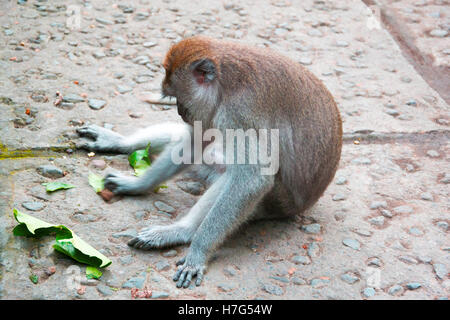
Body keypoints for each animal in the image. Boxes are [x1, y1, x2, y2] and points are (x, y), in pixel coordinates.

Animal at [77, 36, 342, 288]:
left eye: (178, 96)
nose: (180, 111)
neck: (225, 82)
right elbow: (195, 142)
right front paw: (137, 185)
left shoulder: (238, 113)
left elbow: (253, 179)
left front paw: (198, 253)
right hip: (214, 163)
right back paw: (121, 143)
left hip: (278, 203)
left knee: (235, 180)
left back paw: (183, 232)